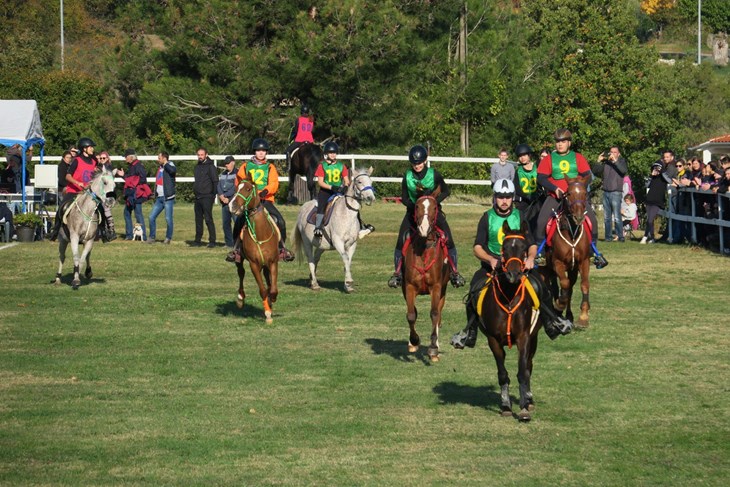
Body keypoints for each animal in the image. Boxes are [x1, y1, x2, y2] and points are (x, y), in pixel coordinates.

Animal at [230, 179, 278, 324]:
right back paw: (240, 298)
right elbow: (262, 290)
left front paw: (272, 300)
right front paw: (267, 313)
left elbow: (273, 289)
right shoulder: (254, 264)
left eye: (247, 189)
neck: (261, 233)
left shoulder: (273, 262)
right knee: (241, 273)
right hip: (240, 260)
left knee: (268, 279)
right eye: (236, 188)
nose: (231, 205)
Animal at [398, 191, 450, 362]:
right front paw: (413, 340)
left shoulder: (436, 287)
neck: (424, 249)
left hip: (443, 291)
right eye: (417, 206)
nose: (424, 228)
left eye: (434, 207)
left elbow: (434, 314)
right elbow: (411, 314)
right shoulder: (408, 287)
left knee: (438, 315)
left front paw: (433, 349)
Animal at [540, 174, 592, 328]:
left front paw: (583, 316)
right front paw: (558, 305)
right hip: (544, 269)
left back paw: (568, 315)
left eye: (585, 193)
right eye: (568, 194)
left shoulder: (583, 262)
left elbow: (583, 285)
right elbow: (564, 284)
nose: (579, 217)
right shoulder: (558, 262)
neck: (572, 233)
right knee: (550, 287)